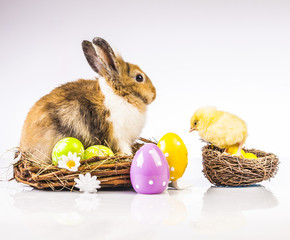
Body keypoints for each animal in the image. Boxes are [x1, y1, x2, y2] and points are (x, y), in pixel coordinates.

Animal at [19, 36, 156, 162]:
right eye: (139, 77)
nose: (154, 94)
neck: (120, 93)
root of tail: (24, 145)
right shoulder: (119, 137)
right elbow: (123, 149)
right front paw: (129, 156)